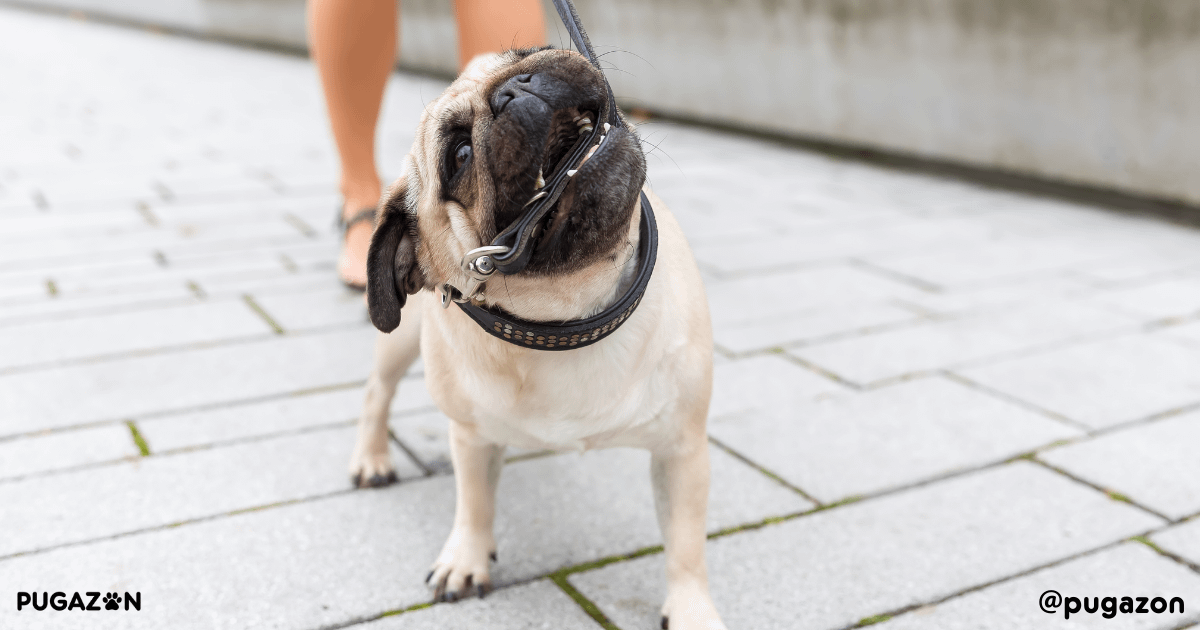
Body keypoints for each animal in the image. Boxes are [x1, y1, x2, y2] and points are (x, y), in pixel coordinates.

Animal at [348, 45, 720, 628]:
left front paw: (692, 610)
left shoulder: (682, 449)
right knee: (376, 392)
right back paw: (372, 458)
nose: (515, 87)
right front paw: (467, 559)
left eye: (522, 53)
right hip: (400, 341)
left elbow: (685, 545)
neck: (569, 318)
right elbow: (475, 502)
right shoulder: (471, 436)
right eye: (458, 156)